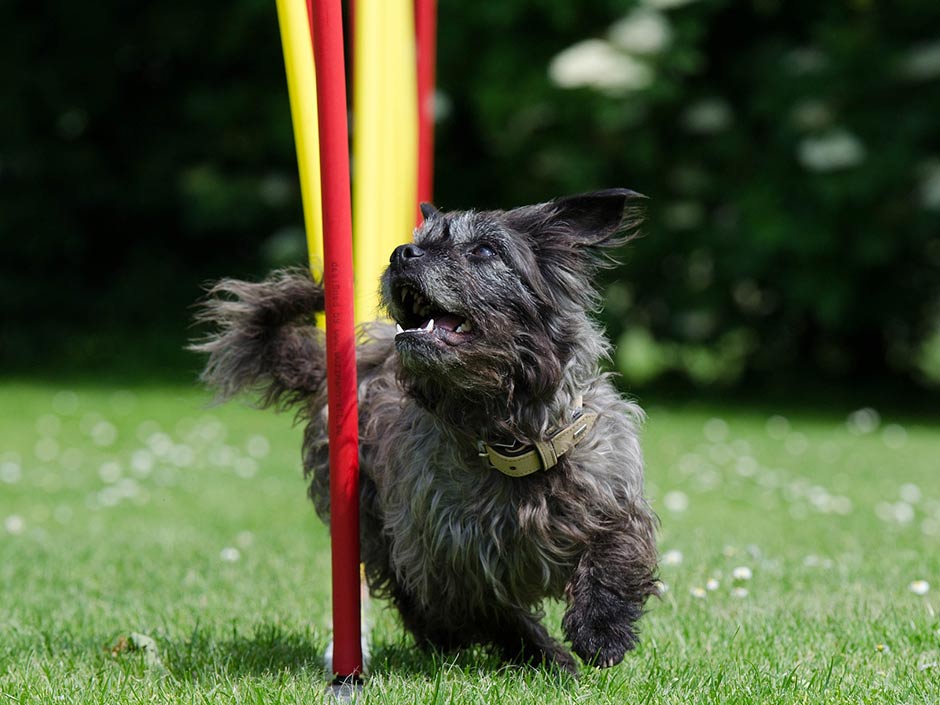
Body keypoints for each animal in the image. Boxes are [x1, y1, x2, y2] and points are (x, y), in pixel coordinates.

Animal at [191, 190, 656, 672]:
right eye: (420, 240)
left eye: (484, 250)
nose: (401, 254)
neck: (507, 440)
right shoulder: (446, 563)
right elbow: (499, 615)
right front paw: (547, 656)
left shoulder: (611, 495)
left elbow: (614, 552)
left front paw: (602, 629)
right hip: (377, 529)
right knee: (409, 597)